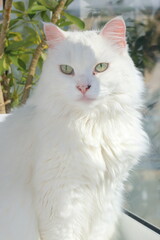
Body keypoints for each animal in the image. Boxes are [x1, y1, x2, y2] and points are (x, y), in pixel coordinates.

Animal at [0, 17, 149, 240]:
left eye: (101, 67)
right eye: (67, 70)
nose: (83, 87)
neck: (91, 125)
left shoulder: (107, 196)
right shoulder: (62, 200)